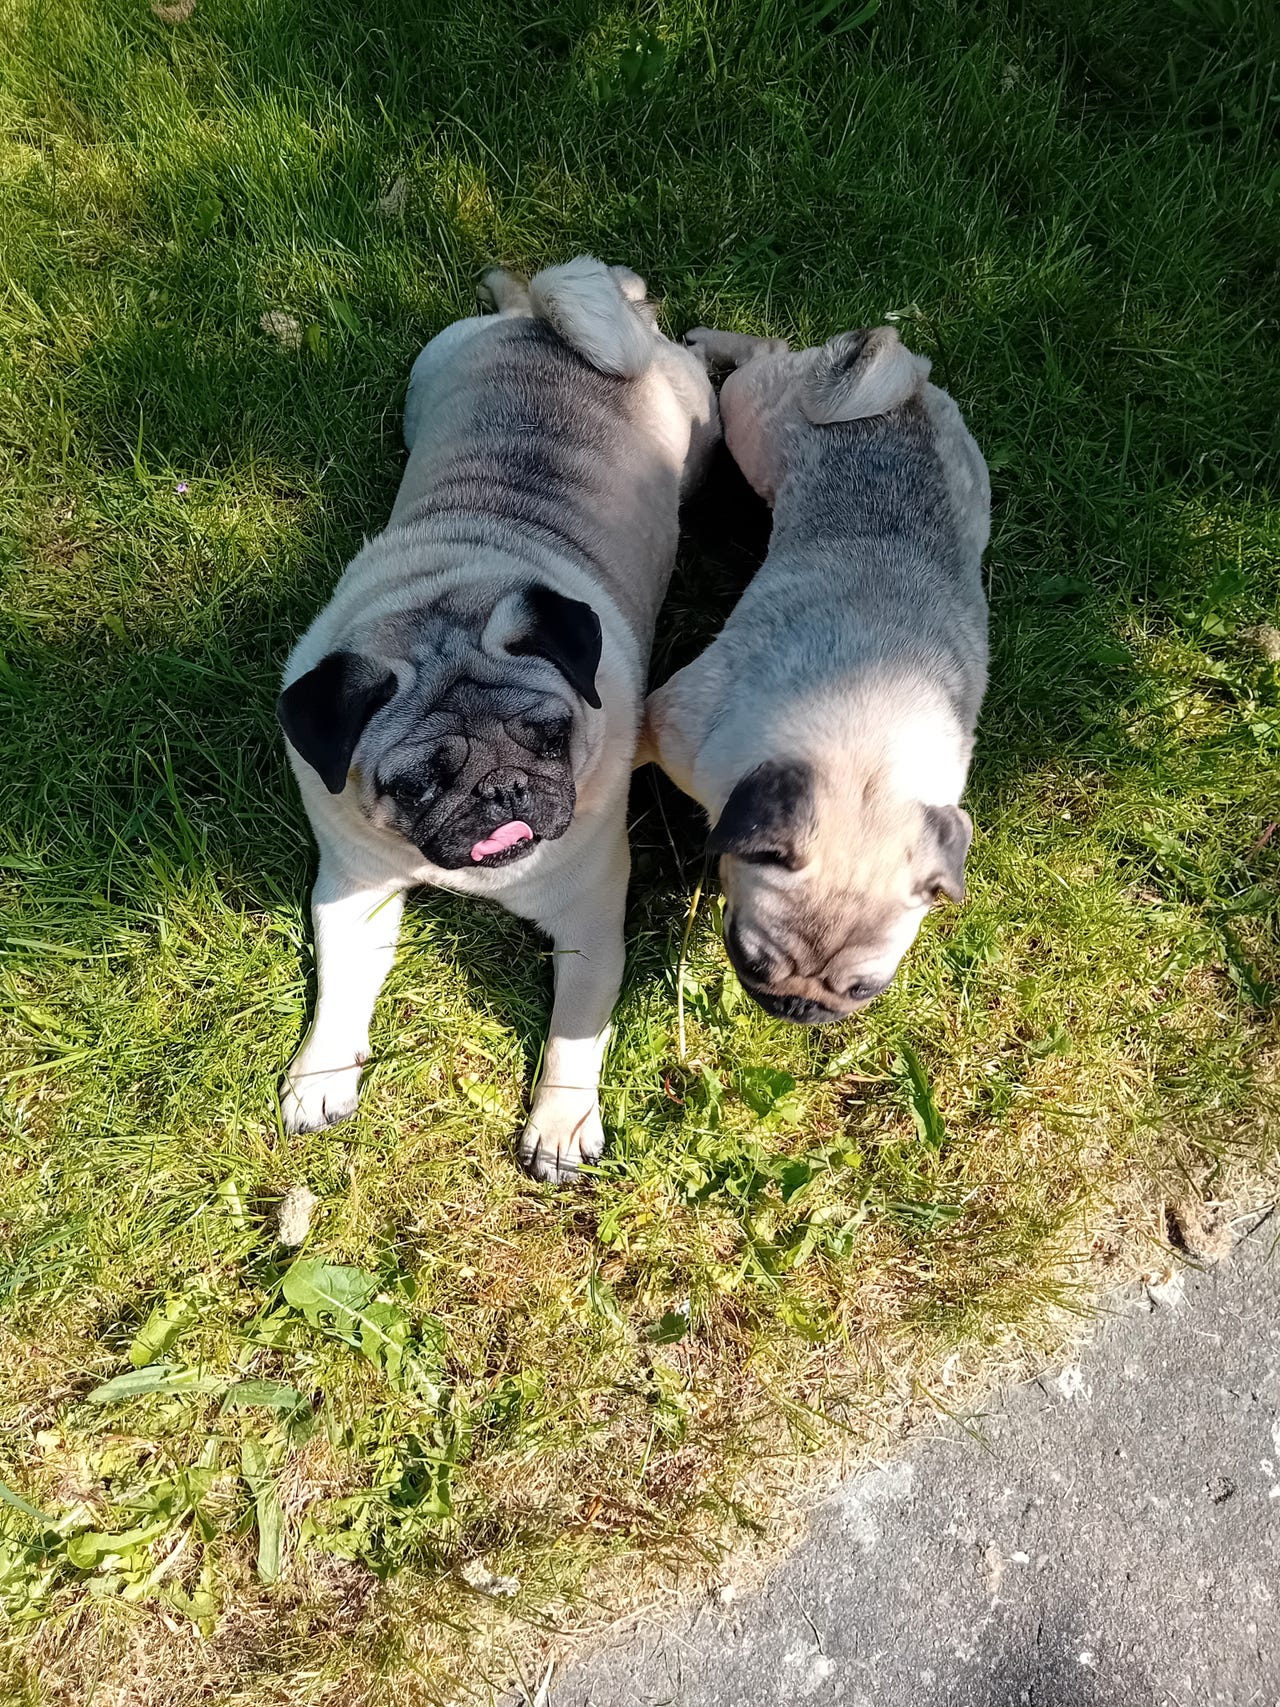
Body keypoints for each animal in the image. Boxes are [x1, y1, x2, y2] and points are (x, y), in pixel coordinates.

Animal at [277, 258, 717, 1178]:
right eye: (417, 782)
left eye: (550, 738)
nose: (503, 791)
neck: (453, 585)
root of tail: (544, 322)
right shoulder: (353, 889)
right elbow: (340, 989)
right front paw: (323, 1071)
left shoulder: (590, 918)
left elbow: (574, 1036)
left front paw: (560, 1121)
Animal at [641, 323, 989, 1024]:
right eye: (752, 962)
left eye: (864, 991)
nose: (797, 1008)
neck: (863, 758)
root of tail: (904, 377)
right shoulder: (668, 728)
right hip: (750, 421)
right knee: (764, 355)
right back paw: (709, 344)